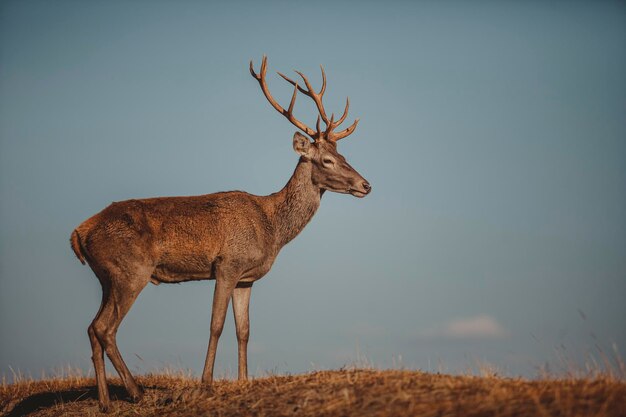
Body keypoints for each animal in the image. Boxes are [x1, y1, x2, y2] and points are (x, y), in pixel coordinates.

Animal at [69, 56, 370, 412]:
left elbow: (245, 330)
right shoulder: (227, 264)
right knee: (105, 328)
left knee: (92, 327)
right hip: (131, 271)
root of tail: (77, 234)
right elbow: (216, 325)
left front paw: (243, 381)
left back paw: (104, 401)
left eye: (344, 156)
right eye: (326, 160)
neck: (271, 229)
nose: (366, 184)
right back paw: (135, 391)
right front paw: (206, 382)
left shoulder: (246, 278)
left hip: (107, 278)